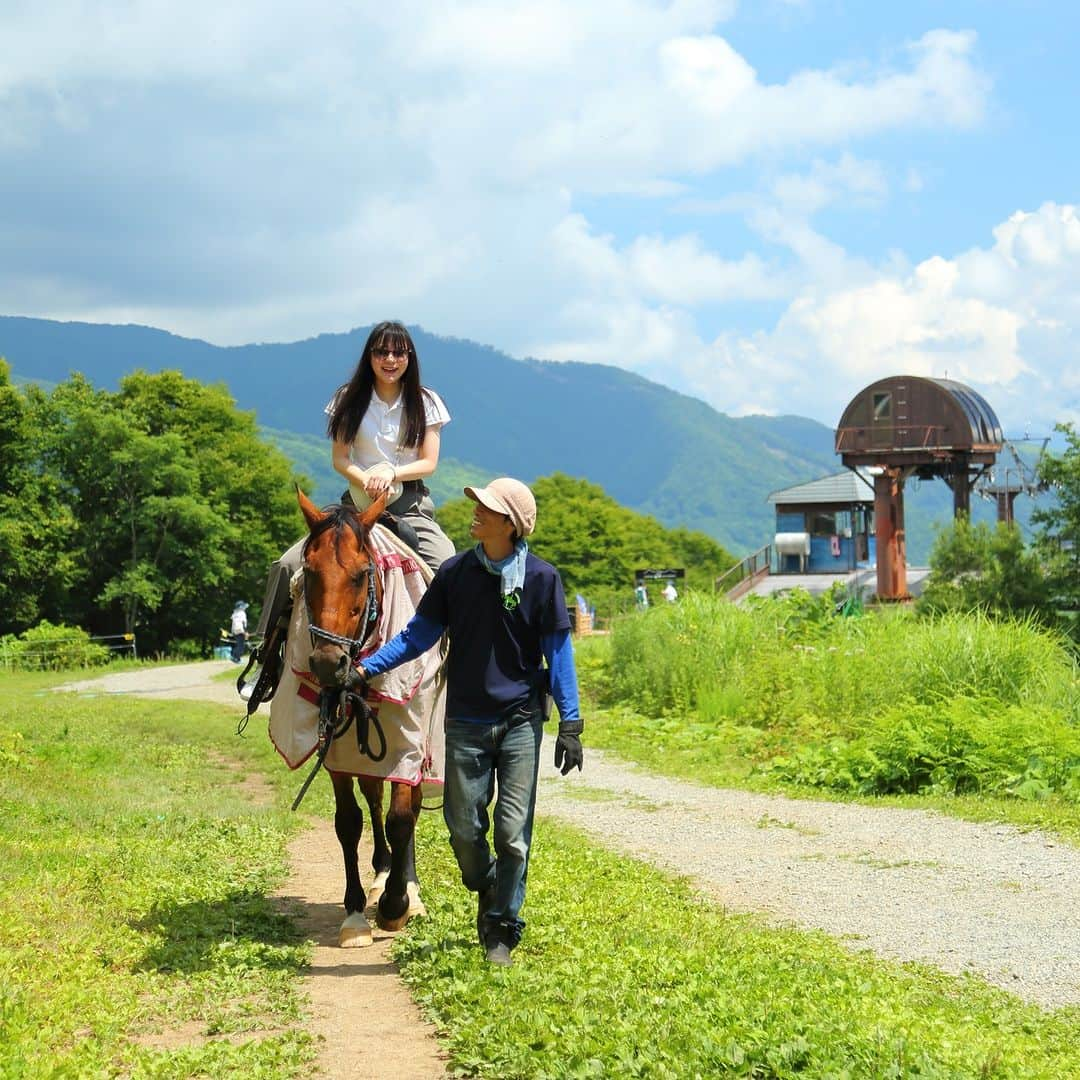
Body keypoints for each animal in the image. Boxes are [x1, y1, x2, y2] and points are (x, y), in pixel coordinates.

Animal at [300, 490, 429, 946]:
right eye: (308, 571)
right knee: (372, 797)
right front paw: (356, 910)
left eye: (360, 575)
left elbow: (402, 817)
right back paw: (381, 872)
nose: (327, 663)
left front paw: (396, 905)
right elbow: (349, 822)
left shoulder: (410, 741)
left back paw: (406, 887)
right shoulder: (338, 752)